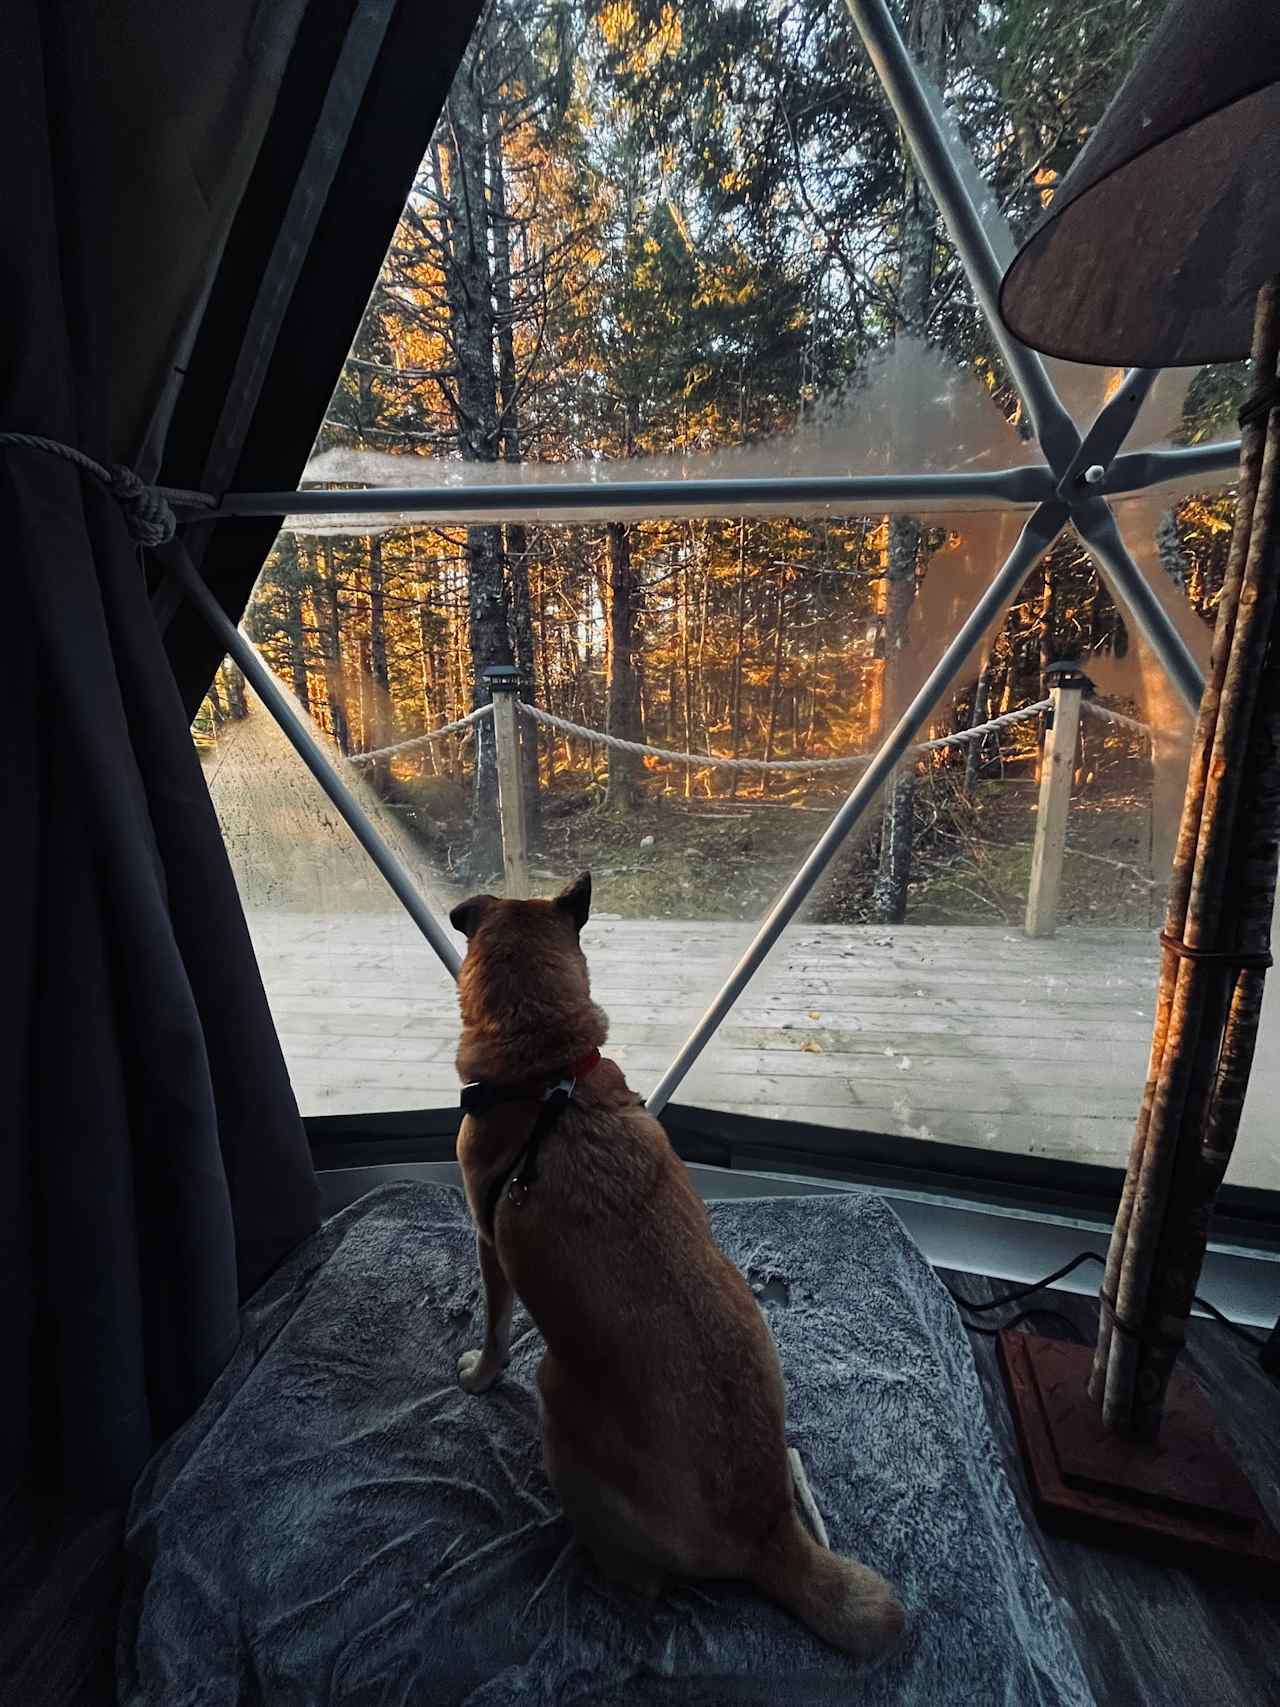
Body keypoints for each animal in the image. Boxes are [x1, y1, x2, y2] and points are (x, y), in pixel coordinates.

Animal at [457, 873, 907, 1659]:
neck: (546, 1071)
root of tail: (764, 1536)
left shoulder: (489, 1244)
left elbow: (493, 1330)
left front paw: (479, 1375)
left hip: (557, 1398)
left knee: (638, 1583)